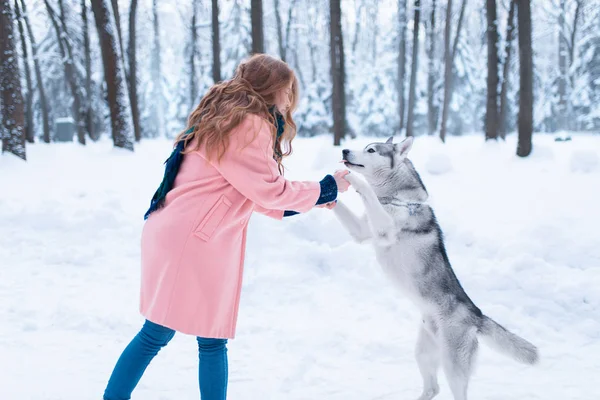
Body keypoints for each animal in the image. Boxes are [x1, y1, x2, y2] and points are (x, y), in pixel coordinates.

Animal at [332, 136, 540, 398]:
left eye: (371, 150)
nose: (344, 150)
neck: (400, 199)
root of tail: (477, 316)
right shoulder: (362, 231)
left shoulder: (384, 229)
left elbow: (367, 192)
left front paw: (353, 180)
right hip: (424, 351)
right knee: (433, 387)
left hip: (453, 365)